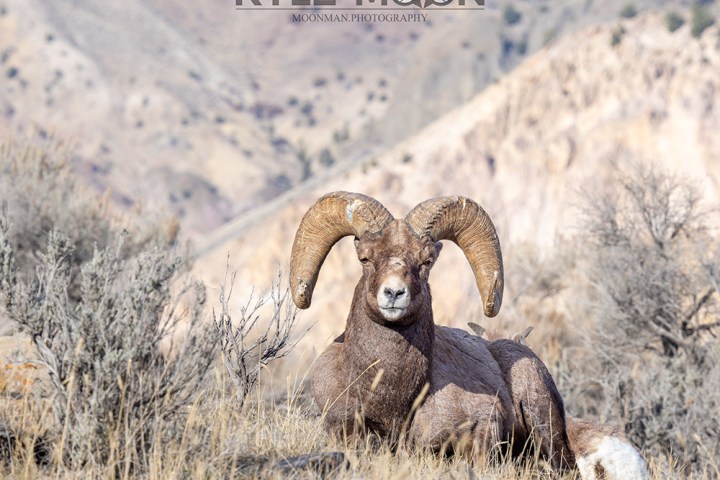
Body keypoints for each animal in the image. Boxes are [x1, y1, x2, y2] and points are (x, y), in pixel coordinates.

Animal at [289, 191, 648, 479]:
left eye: (426, 261)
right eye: (364, 258)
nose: (393, 294)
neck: (392, 400)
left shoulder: (481, 430)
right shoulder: (344, 429)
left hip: (542, 416)